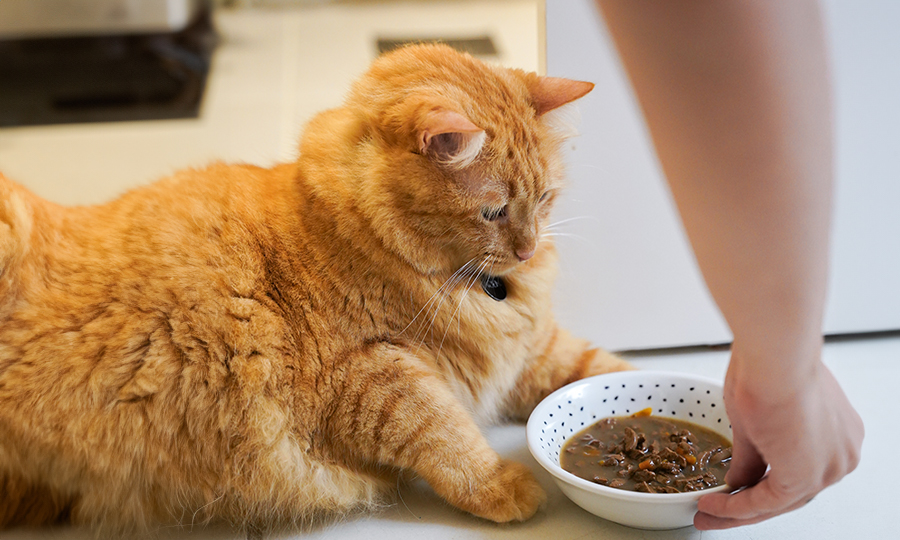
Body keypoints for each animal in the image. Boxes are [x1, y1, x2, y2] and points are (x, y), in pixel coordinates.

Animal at [0, 44, 632, 532]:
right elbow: (445, 432)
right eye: (494, 212)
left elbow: (600, 368)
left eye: (545, 199)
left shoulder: (534, 352)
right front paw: (501, 484)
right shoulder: (369, 380)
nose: (527, 248)